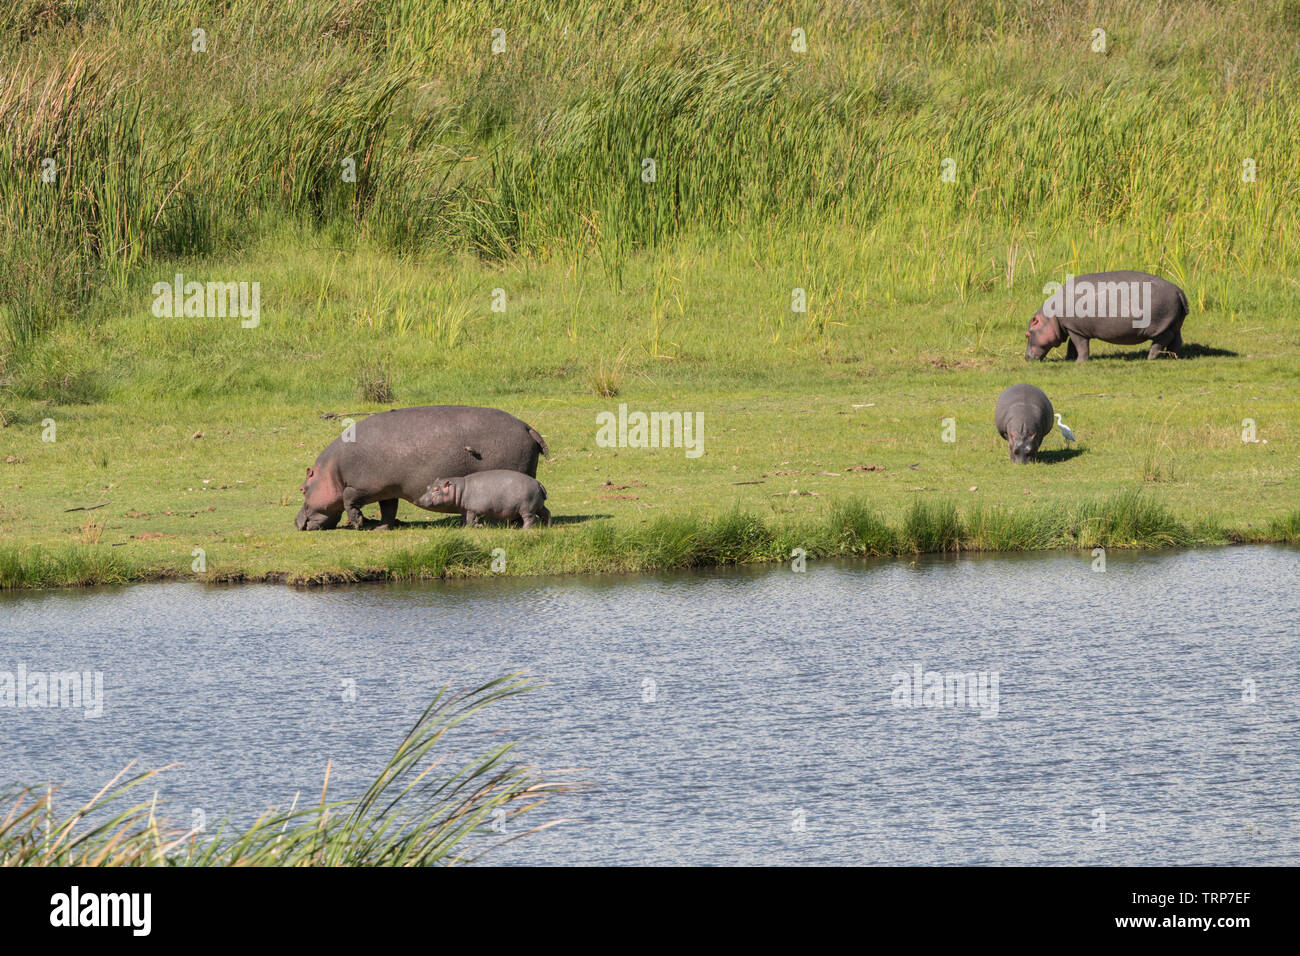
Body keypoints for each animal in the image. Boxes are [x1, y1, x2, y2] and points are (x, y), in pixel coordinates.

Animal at [418, 470, 551, 530]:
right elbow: (466, 519)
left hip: (527, 508)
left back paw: (524, 529)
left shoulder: (472, 509)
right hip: (538, 506)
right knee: (546, 512)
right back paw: (547, 525)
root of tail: (538, 483)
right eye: (428, 486)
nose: (420, 499)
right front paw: (466, 527)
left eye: (436, 490)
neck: (458, 489)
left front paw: (479, 526)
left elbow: (470, 520)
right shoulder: (465, 509)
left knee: (530, 519)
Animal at [1024, 273, 1190, 361]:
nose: (1026, 358)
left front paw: (1079, 362)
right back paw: (1172, 356)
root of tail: (1179, 291)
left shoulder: (1075, 330)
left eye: (1027, 334)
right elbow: (1073, 345)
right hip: (1175, 322)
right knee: (1176, 339)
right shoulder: (1074, 328)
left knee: (1163, 339)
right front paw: (1069, 359)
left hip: (1158, 326)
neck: (1051, 317)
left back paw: (1150, 357)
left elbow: (1080, 345)